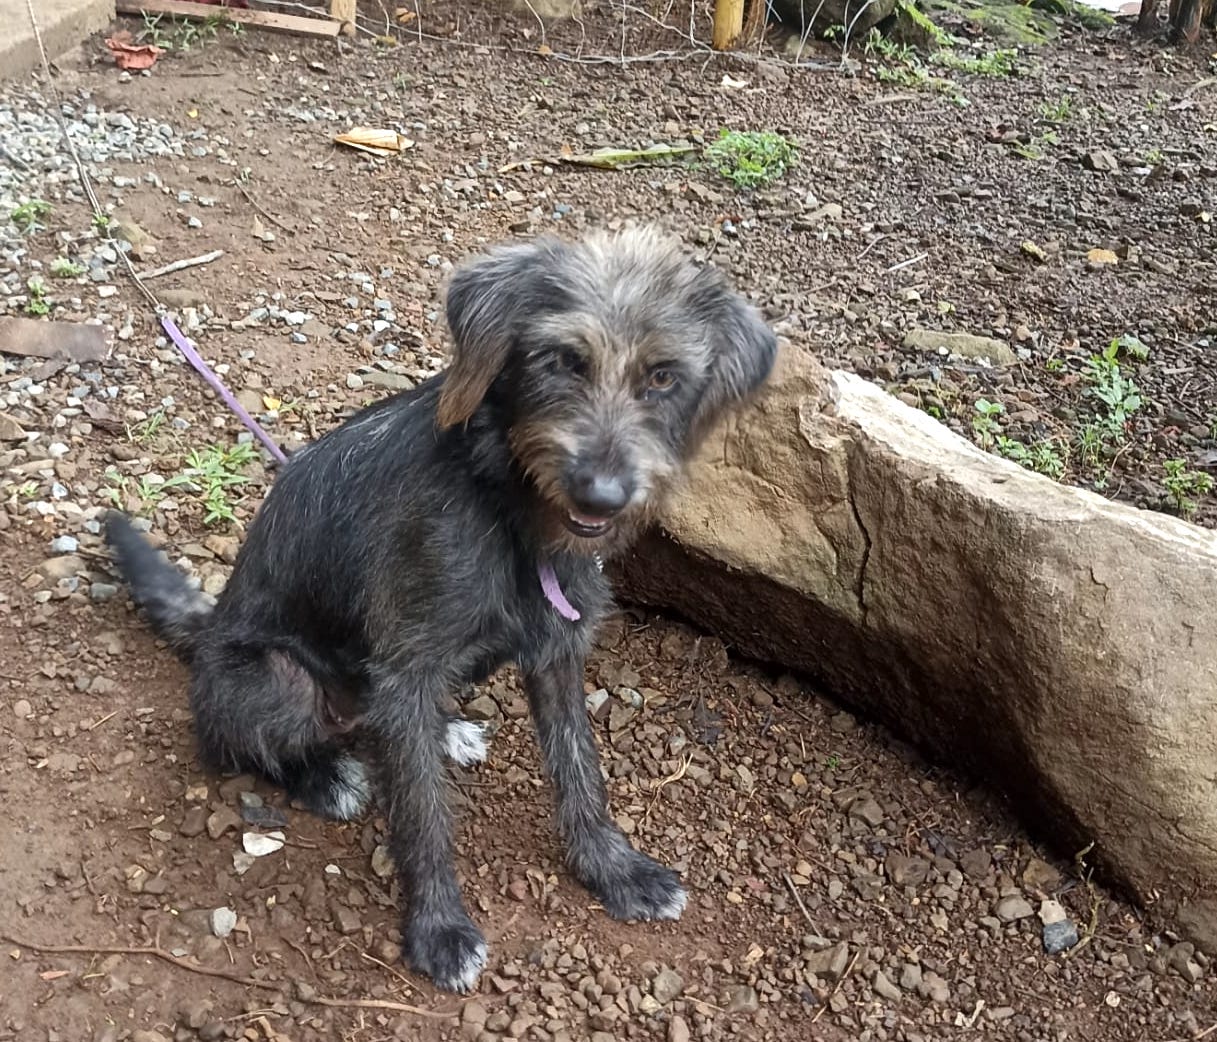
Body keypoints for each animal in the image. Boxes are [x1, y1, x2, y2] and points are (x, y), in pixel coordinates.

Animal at [102, 227, 769, 993]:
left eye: (662, 376)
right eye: (561, 360)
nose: (601, 495)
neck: (510, 510)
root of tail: (209, 626)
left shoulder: (555, 651)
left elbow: (580, 767)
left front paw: (613, 868)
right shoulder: (407, 667)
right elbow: (422, 815)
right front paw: (438, 929)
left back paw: (444, 731)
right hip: (278, 679)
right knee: (236, 739)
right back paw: (325, 775)